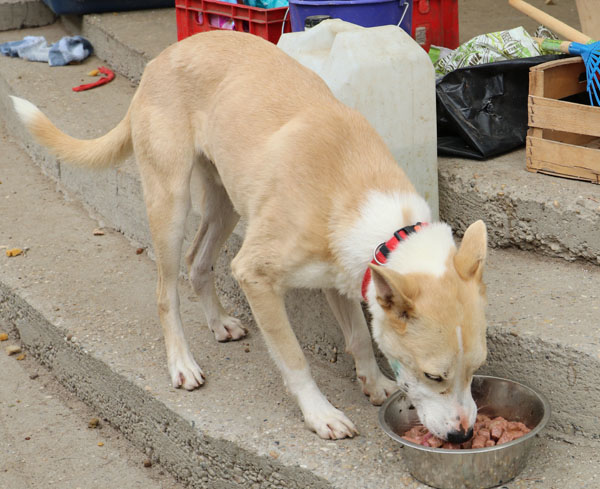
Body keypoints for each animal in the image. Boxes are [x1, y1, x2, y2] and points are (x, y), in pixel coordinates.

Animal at [10, 30, 488, 442]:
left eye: (475, 369)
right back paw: (181, 363)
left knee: (197, 262)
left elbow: (358, 337)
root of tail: (161, 58)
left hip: (225, 201)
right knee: (166, 291)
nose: (463, 435)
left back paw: (218, 321)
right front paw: (320, 414)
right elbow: (295, 360)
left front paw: (374, 382)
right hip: (170, 202)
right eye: (434, 375)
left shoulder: (343, 276)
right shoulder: (255, 275)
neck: (357, 192)